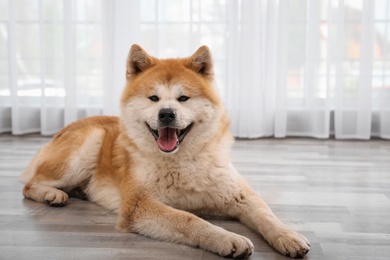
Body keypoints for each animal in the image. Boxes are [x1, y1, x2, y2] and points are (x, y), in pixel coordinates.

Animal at [20, 44, 310, 258]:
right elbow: (190, 220)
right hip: (87, 147)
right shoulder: (139, 206)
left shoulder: (239, 195)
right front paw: (227, 238)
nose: (167, 113)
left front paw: (288, 235)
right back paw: (52, 194)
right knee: (29, 185)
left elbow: (266, 215)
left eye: (183, 98)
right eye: (154, 98)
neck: (180, 163)